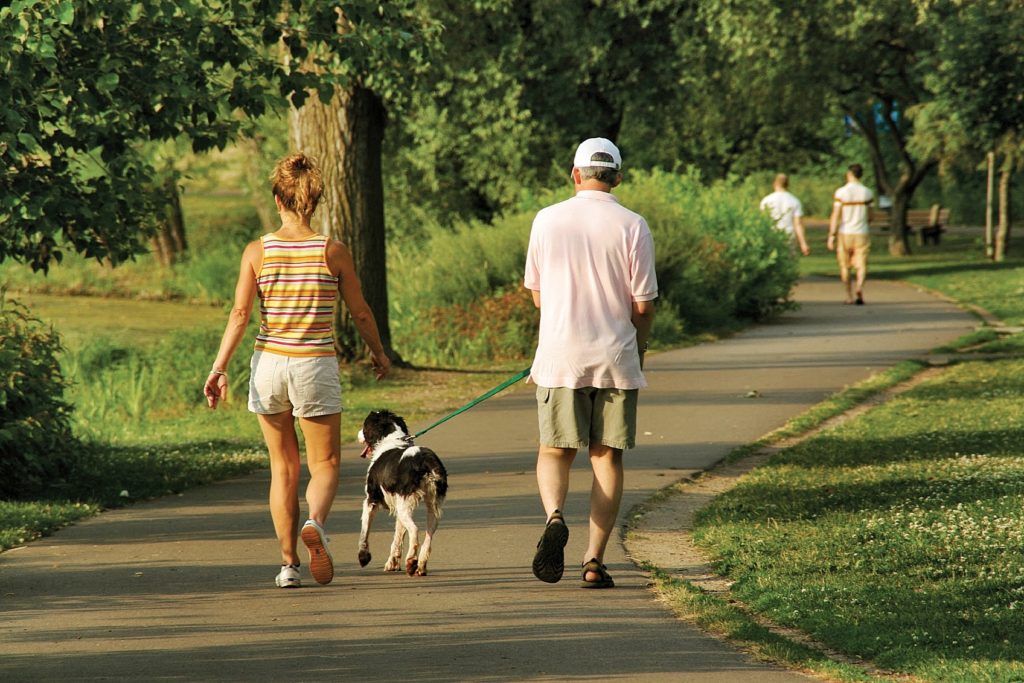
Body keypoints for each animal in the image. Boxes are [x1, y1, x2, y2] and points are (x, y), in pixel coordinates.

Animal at [358, 411, 446, 577]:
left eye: (365, 425)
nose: (358, 434)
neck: (392, 439)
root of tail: (425, 459)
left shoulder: (370, 500)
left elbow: (364, 531)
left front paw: (363, 557)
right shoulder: (398, 506)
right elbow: (398, 537)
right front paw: (392, 563)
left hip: (406, 506)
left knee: (415, 531)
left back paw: (411, 561)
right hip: (431, 506)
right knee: (428, 535)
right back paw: (420, 566)